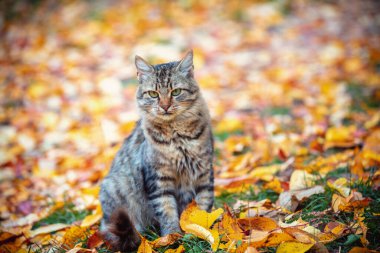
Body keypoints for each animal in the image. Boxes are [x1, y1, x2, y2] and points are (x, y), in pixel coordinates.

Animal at [99, 50, 215, 251]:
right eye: (153, 94)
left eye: (176, 92)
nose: (165, 106)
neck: (177, 137)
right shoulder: (159, 179)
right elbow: (167, 212)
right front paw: (172, 237)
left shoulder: (204, 171)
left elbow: (202, 206)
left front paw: (200, 232)